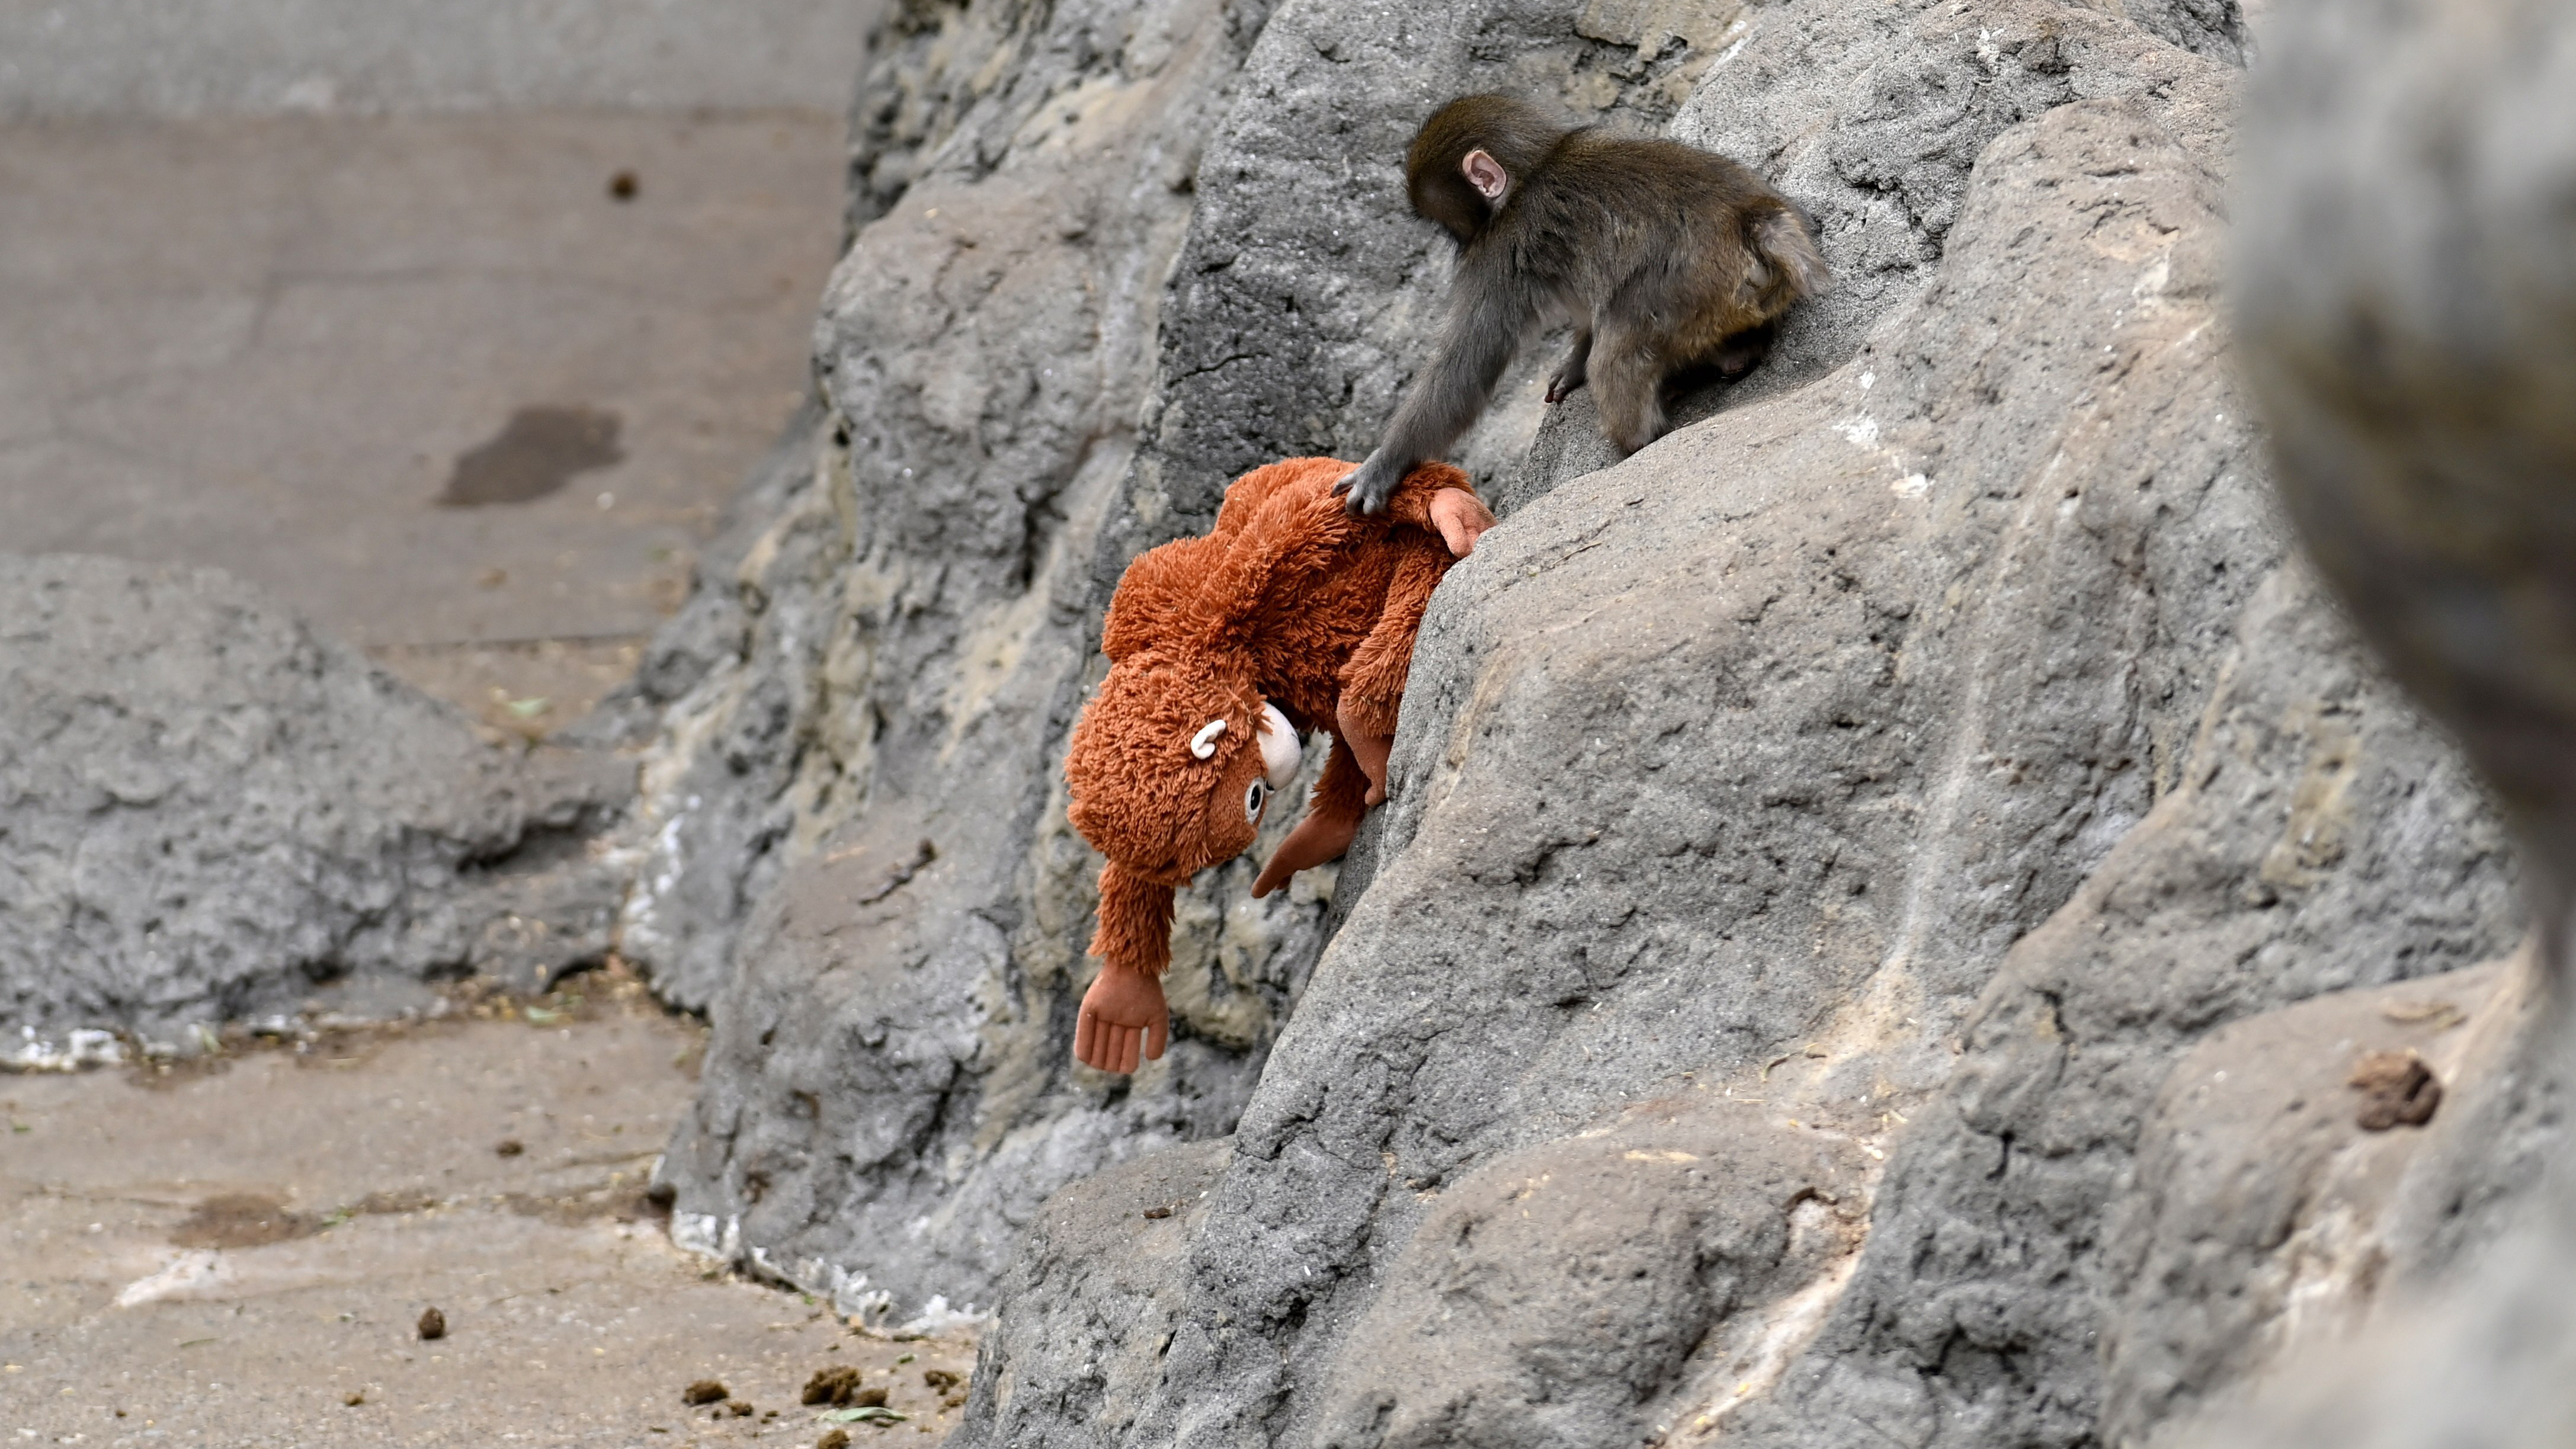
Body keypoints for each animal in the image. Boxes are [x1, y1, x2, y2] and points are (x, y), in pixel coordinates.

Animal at [1337, 94, 1828, 516]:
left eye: (1447, 226)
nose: (1456, 247)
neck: (1535, 168)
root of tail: (1753, 220)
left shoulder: (1497, 253)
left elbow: (1467, 365)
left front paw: (1385, 463)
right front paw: (1571, 364)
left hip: (1682, 291)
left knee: (1617, 352)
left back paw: (1635, 440)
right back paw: (1737, 353)